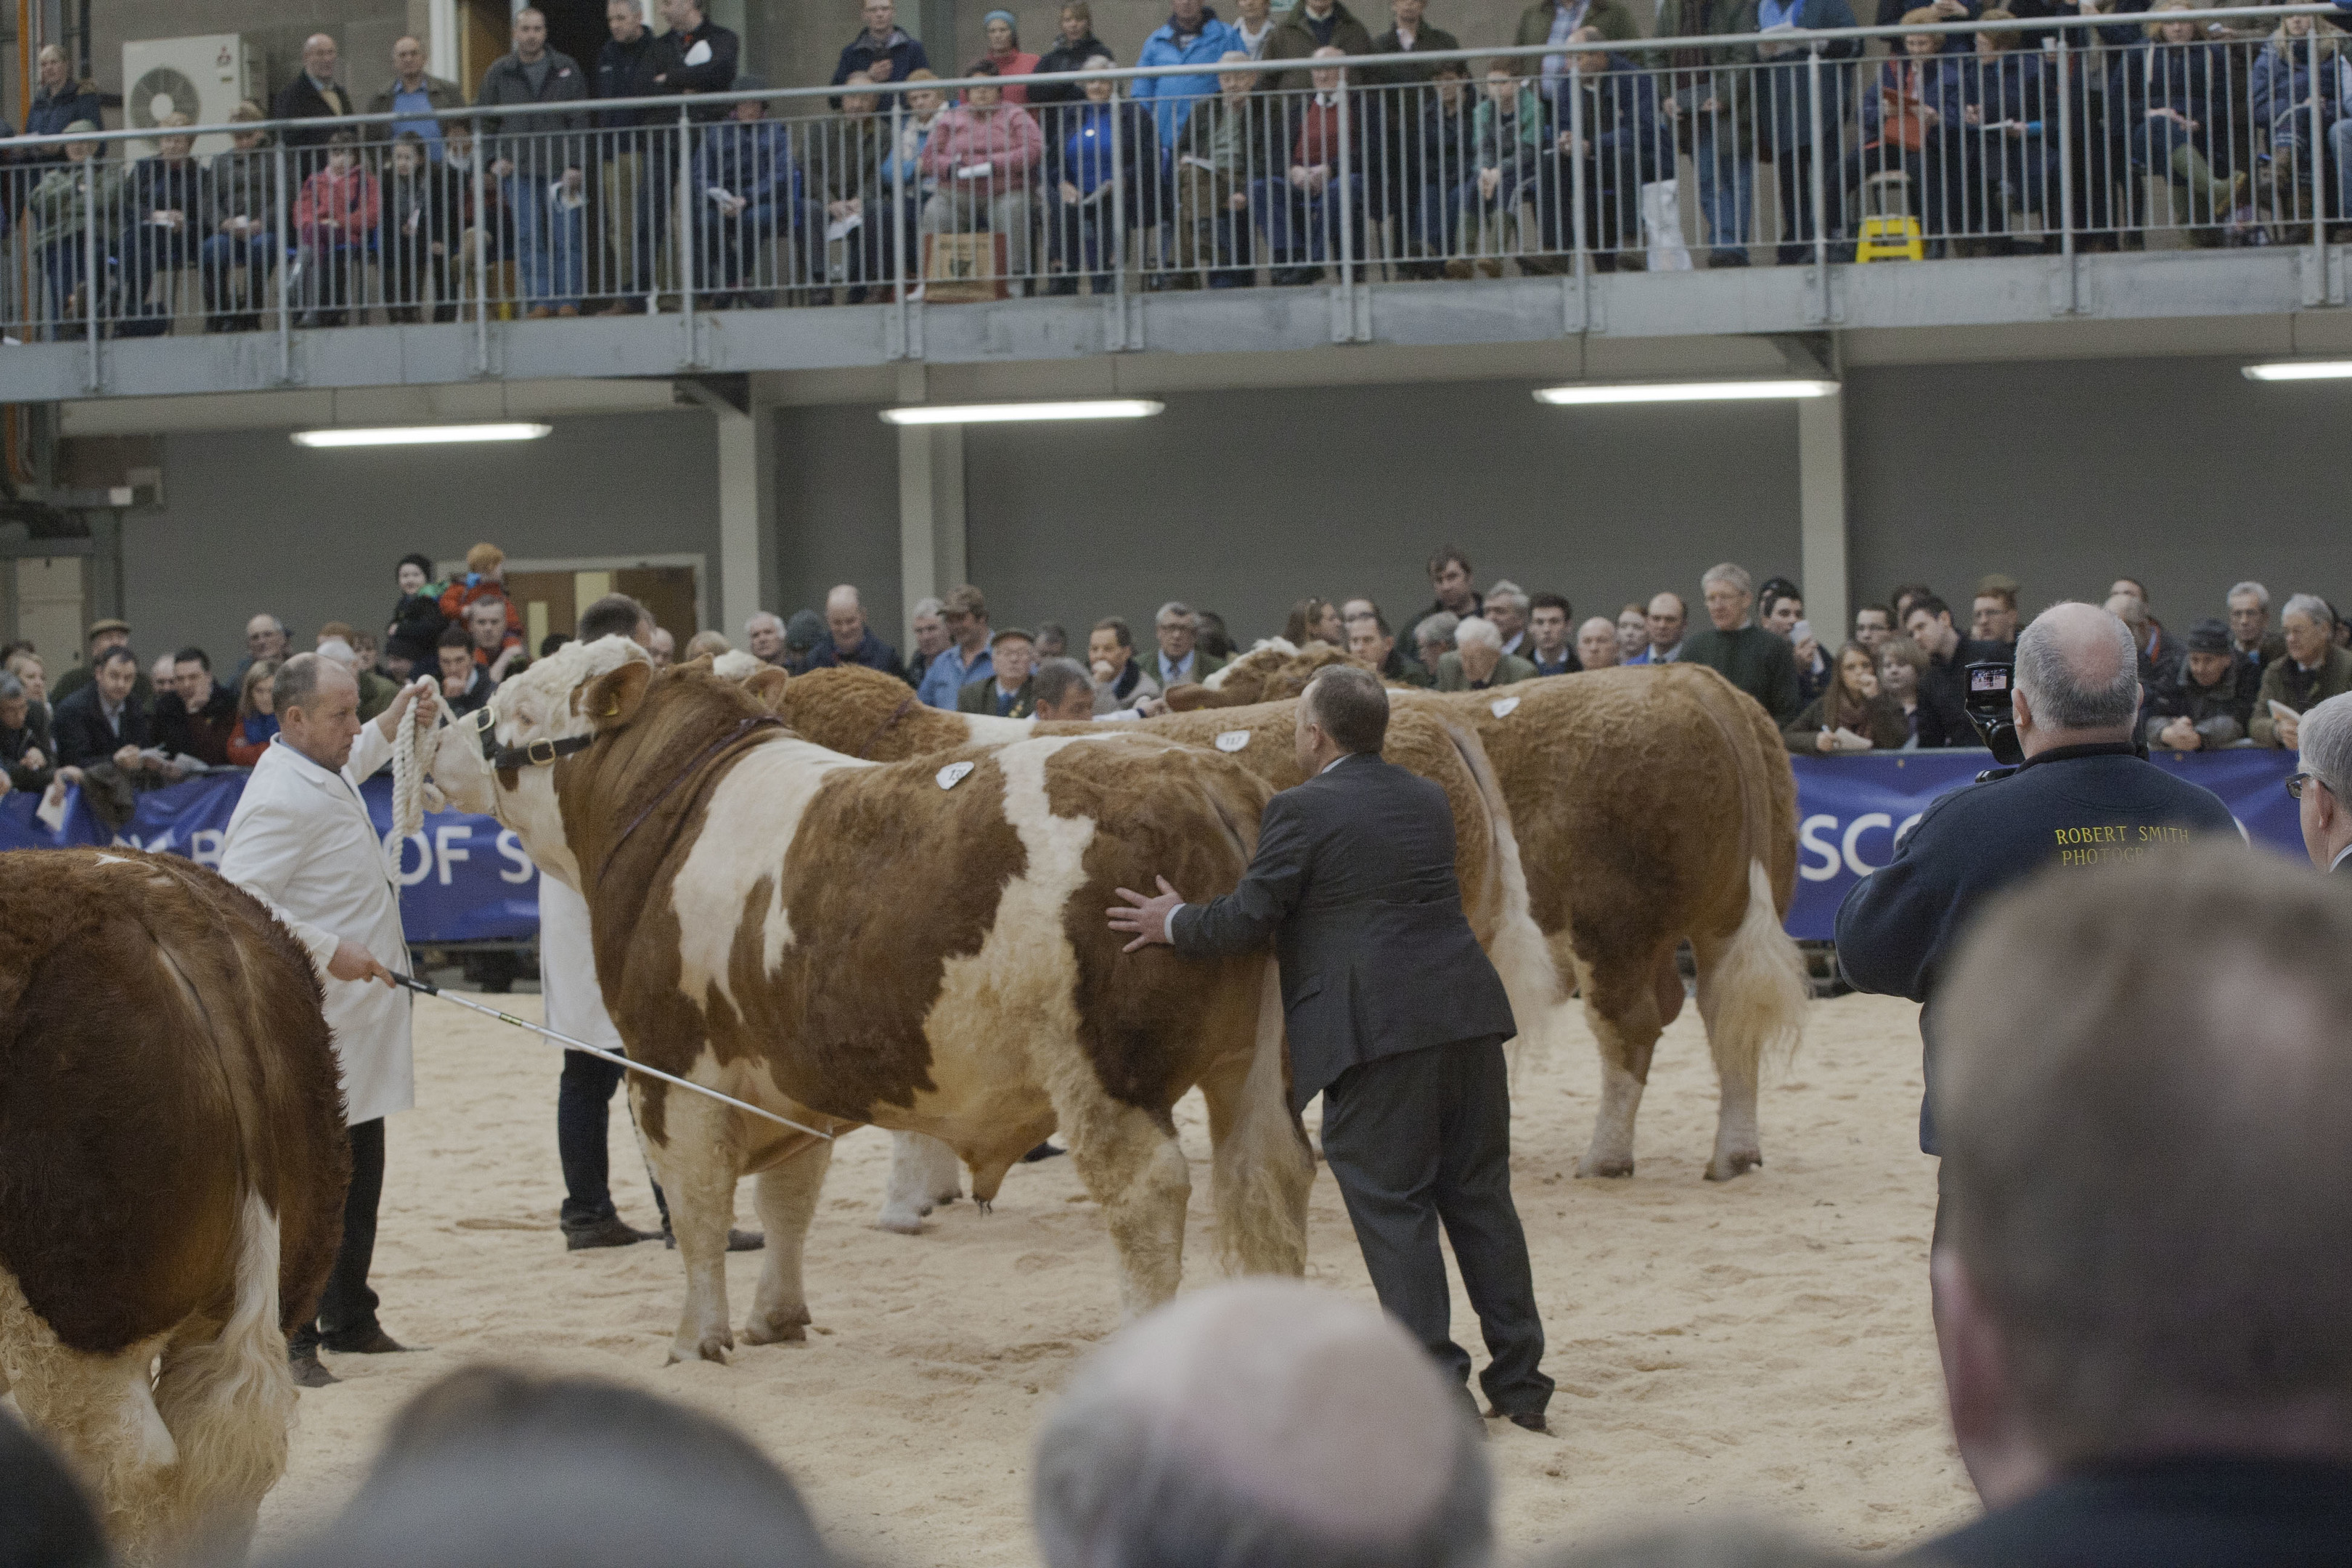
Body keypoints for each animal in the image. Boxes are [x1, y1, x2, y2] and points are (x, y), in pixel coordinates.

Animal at [418, 639, 1307, 1363]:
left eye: (520, 708)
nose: (442, 737)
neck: (679, 815)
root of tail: (1203, 774)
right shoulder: (785, 1072)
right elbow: (788, 1201)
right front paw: (777, 1318)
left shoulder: (672, 1069)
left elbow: (700, 1206)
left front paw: (696, 1338)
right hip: (1258, 1067)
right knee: (1270, 1182)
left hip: (1107, 1075)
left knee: (1150, 1193)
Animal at [1176, 639, 1816, 1175]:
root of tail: (1696, 681)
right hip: (1726, 919)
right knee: (1726, 1014)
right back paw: (1735, 1152)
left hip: (1615, 927)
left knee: (1631, 1025)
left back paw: (1605, 1156)